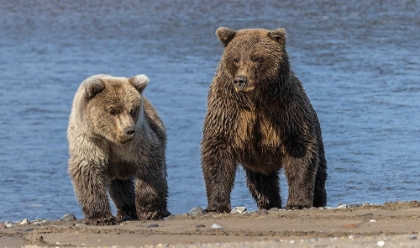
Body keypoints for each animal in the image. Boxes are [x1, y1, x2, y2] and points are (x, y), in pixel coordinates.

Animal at [67, 73, 169, 225]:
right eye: (113, 110)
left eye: (132, 110)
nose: (129, 130)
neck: (110, 139)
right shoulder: (91, 143)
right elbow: (89, 174)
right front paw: (101, 217)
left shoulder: (138, 143)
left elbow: (149, 169)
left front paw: (149, 212)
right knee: (121, 186)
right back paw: (127, 210)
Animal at [201, 27, 328, 213]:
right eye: (235, 58)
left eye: (256, 58)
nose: (240, 80)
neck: (255, 101)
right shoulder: (229, 112)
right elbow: (217, 150)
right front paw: (216, 205)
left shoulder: (285, 110)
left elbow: (300, 150)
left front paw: (297, 202)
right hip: (257, 162)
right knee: (261, 183)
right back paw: (269, 202)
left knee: (319, 174)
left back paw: (318, 200)